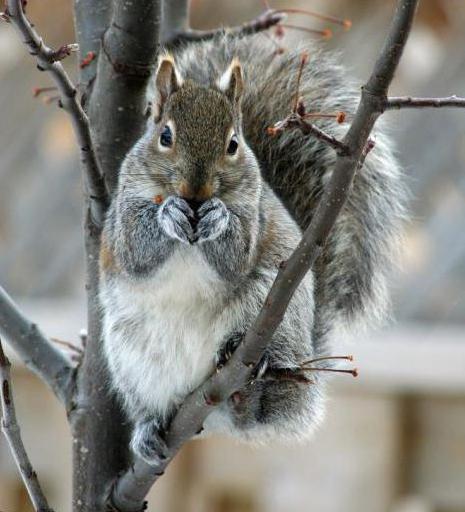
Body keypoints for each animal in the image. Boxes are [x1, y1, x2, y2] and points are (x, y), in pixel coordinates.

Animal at [99, 32, 404, 464]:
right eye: (165, 136)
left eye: (233, 144)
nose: (196, 191)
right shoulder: (120, 221)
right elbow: (137, 251)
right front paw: (167, 214)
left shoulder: (253, 217)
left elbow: (236, 254)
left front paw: (218, 218)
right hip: (130, 359)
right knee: (152, 404)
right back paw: (149, 430)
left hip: (275, 312)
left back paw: (249, 372)